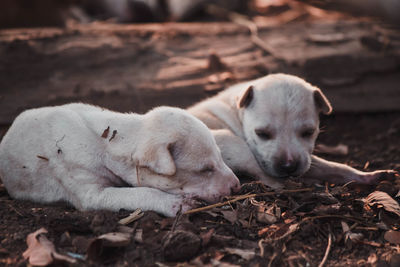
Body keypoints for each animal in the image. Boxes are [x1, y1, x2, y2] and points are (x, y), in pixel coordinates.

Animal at [189, 74, 396, 188]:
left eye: (309, 132)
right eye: (262, 133)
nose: (288, 166)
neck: (236, 111)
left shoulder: (307, 159)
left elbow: (333, 166)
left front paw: (369, 175)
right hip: (234, 144)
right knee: (267, 178)